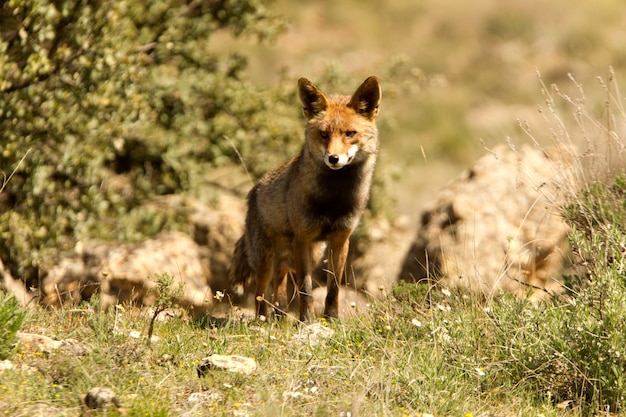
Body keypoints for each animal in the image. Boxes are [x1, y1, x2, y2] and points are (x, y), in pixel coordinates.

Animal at [227, 76, 378, 320]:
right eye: (324, 134)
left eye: (349, 133)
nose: (333, 158)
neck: (334, 200)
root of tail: (253, 191)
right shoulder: (302, 238)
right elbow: (305, 288)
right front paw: (306, 320)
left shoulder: (341, 239)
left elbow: (334, 288)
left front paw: (331, 319)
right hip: (266, 260)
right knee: (261, 292)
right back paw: (263, 320)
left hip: (310, 254)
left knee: (280, 282)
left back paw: (279, 318)